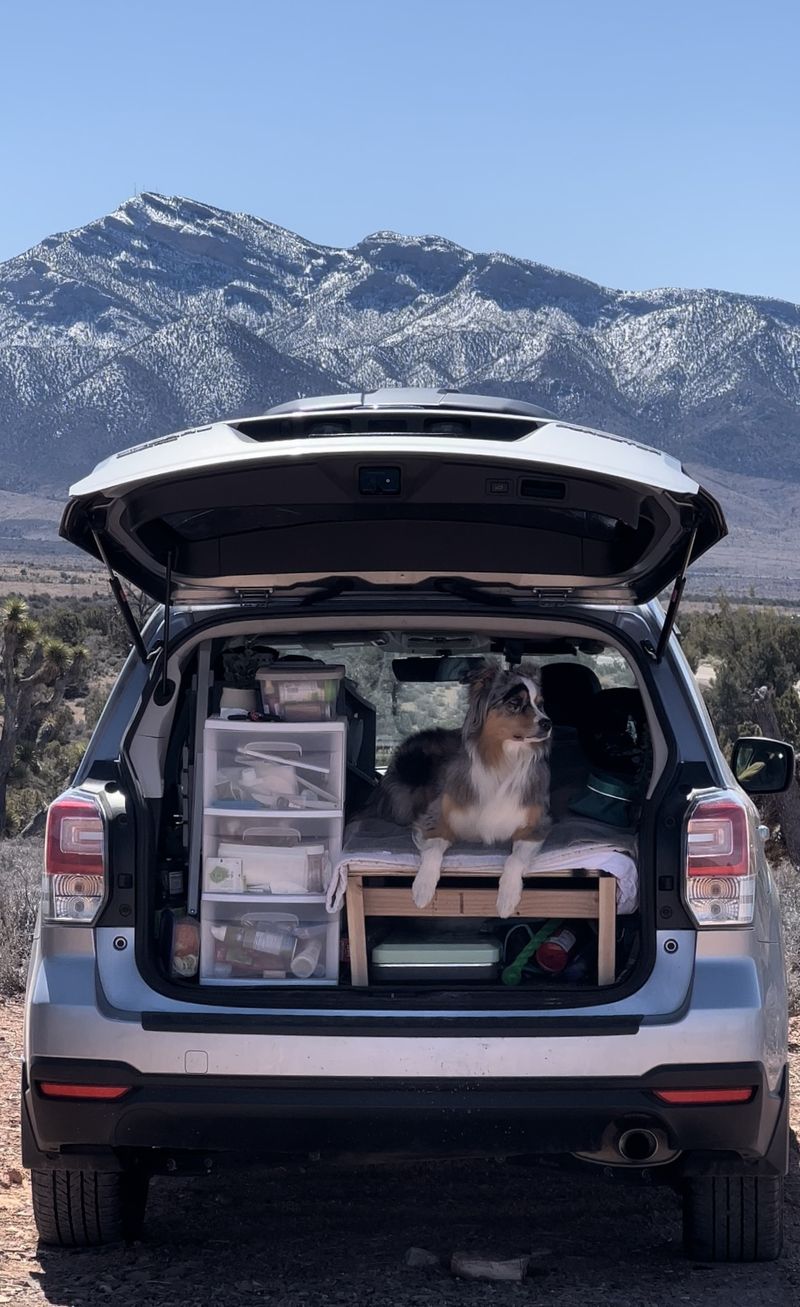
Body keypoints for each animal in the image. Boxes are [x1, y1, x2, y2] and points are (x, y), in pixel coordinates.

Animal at [379, 669, 554, 914]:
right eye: (514, 704)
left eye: (540, 704)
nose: (548, 723)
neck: (504, 760)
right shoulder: (436, 816)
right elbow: (433, 849)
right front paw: (423, 888)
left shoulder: (537, 825)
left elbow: (515, 858)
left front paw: (507, 898)